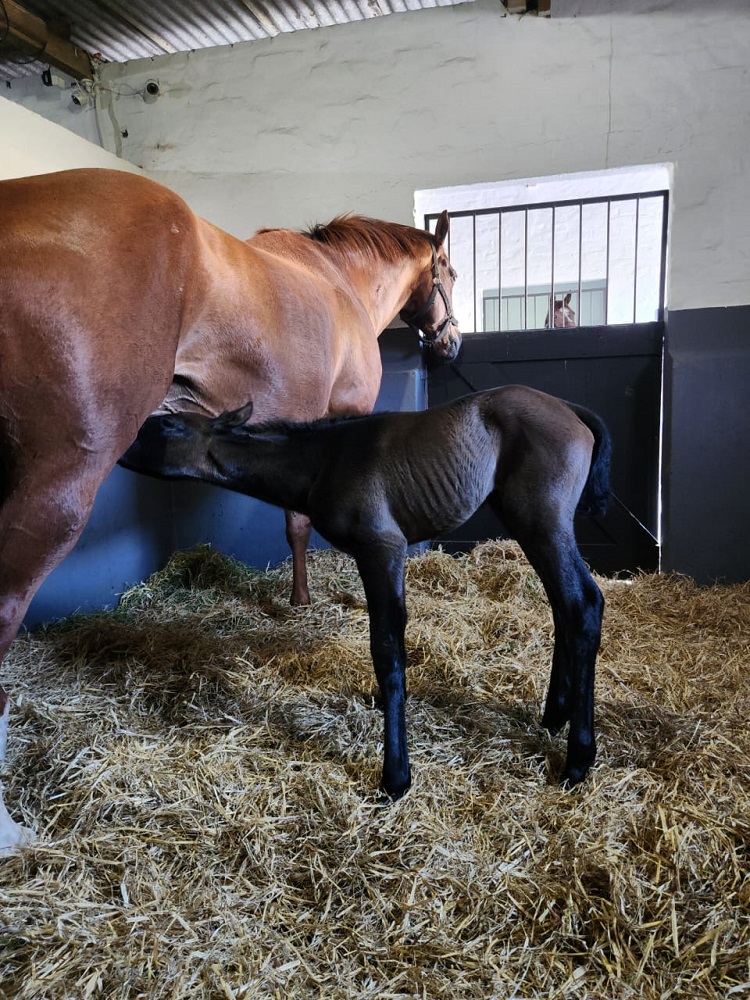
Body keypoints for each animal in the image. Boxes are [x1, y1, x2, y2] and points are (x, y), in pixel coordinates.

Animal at [120, 384, 611, 801]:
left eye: (168, 424)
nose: (120, 448)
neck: (322, 461)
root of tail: (571, 409)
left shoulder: (383, 547)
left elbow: (388, 650)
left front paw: (395, 776)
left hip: (541, 520)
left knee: (583, 603)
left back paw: (578, 759)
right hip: (528, 524)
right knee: (562, 606)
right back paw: (554, 716)